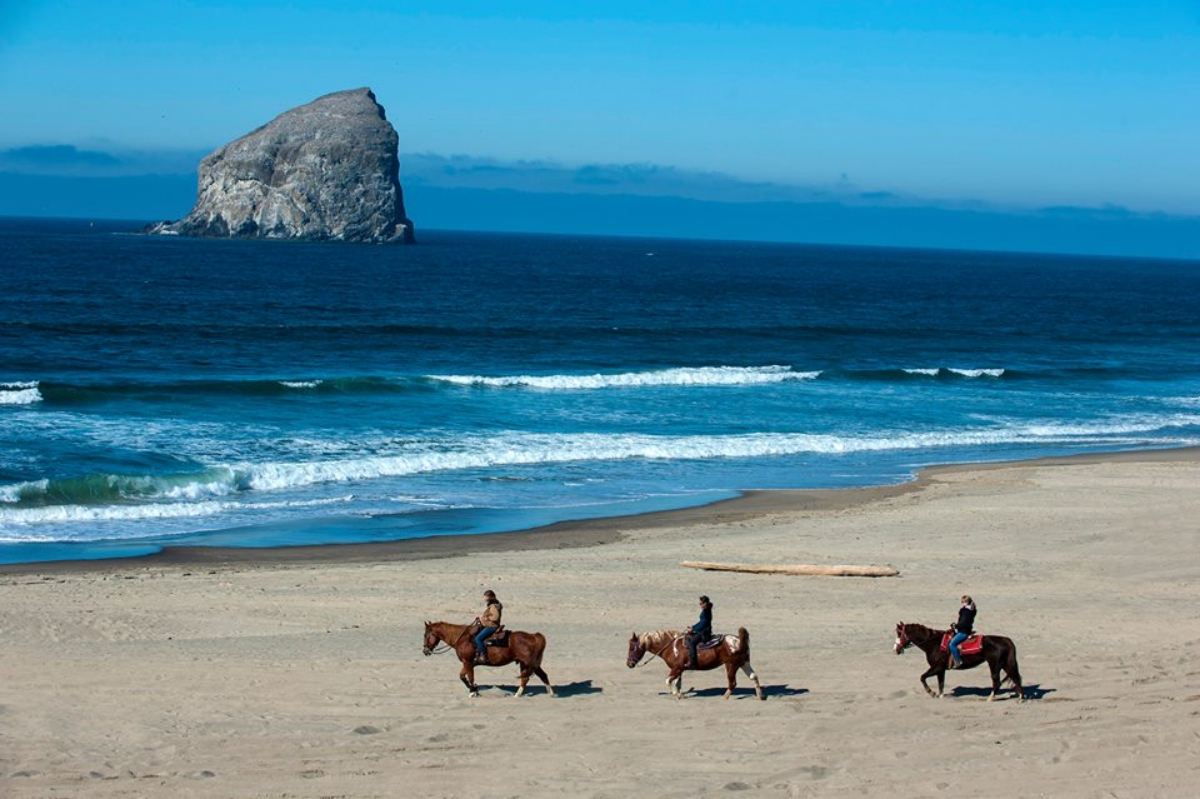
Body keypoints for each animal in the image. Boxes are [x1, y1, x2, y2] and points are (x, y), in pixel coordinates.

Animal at [422, 619, 552, 695]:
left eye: (426, 635)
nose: (425, 651)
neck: (462, 638)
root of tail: (533, 636)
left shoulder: (468, 662)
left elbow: (470, 677)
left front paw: (473, 691)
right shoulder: (468, 663)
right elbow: (462, 676)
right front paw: (474, 689)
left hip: (528, 663)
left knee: (529, 678)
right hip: (527, 664)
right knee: (540, 676)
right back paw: (549, 694)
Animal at [624, 623, 763, 695]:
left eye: (631, 648)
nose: (629, 664)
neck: (671, 646)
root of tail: (738, 640)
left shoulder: (676, 668)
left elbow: (668, 681)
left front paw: (677, 695)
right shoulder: (679, 670)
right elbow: (677, 683)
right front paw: (680, 693)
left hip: (731, 665)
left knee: (733, 683)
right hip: (743, 663)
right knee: (754, 677)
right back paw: (759, 696)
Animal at [897, 619, 1027, 700]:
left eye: (899, 634)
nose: (896, 649)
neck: (934, 643)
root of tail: (1005, 640)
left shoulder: (937, 667)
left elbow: (922, 677)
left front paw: (931, 693)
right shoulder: (941, 670)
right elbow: (941, 684)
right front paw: (940, 696)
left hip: (994, 665)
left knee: (997, 681)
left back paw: (991, 698)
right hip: (1005, 664)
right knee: (1015, 677)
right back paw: (1021, 698)